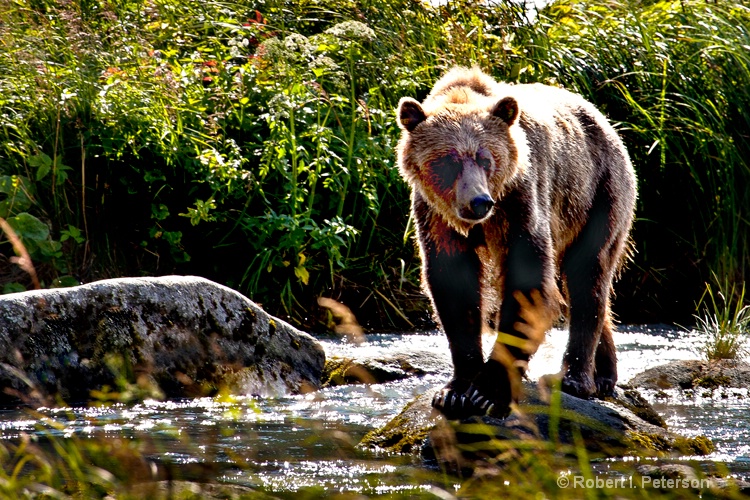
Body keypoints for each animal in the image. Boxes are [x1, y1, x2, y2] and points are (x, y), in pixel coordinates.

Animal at [396, 66, 636, 418]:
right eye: (449, 160)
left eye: (485, 158)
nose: (478, 202)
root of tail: (604, 120)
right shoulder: (434, 215)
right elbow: (453, 286)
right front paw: (456, 389)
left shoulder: (520, 200)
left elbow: (528, 282)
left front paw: (488, 391)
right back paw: (605, 375)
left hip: (597, 194)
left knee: (588, 275)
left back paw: (576, 378)